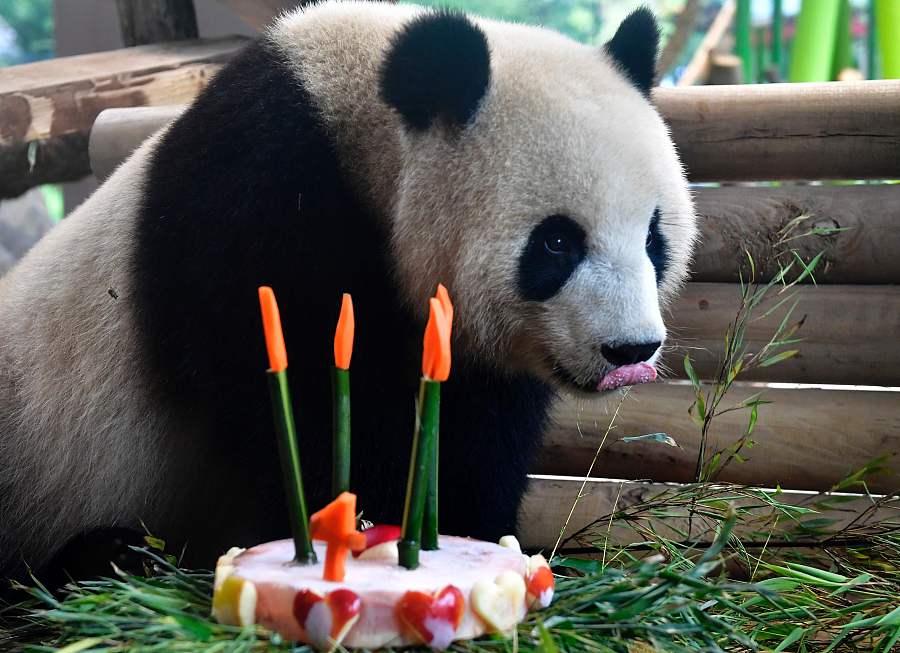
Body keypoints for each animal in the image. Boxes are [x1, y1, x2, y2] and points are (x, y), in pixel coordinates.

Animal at [0, 0, 696, 580]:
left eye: (653, 237)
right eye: (556, 243)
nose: (630, 350)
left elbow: (478, 428)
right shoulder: (255, 208)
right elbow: (300, 402)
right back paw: (117, 555)